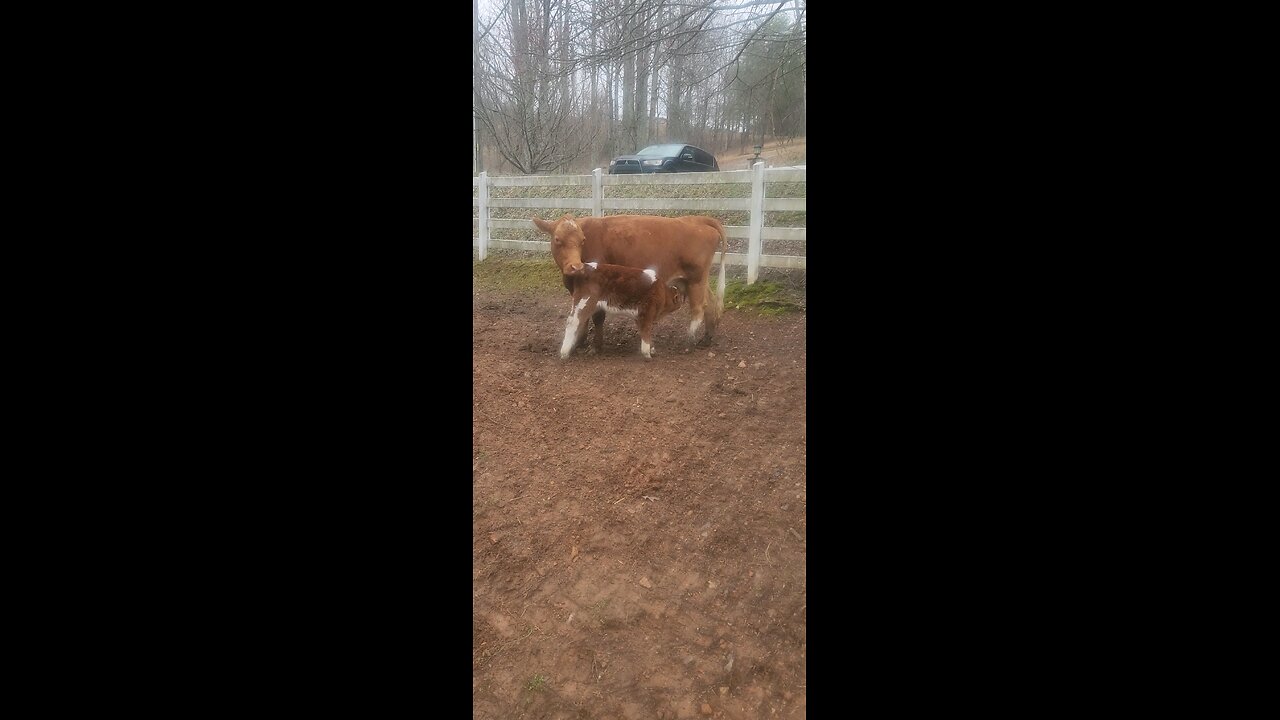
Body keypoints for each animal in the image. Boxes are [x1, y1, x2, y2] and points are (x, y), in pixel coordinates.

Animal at [531, 213, 727, 348]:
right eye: (557, 239)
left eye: (582, 240)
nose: (576, 267)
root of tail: (697, 219)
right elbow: (582, 315)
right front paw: (579, 341)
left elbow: (596, 316)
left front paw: (596, 345)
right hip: (691, 280)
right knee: (710, 304)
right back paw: (706, 338)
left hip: (696, 279)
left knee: (699, 308)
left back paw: (689, 339)